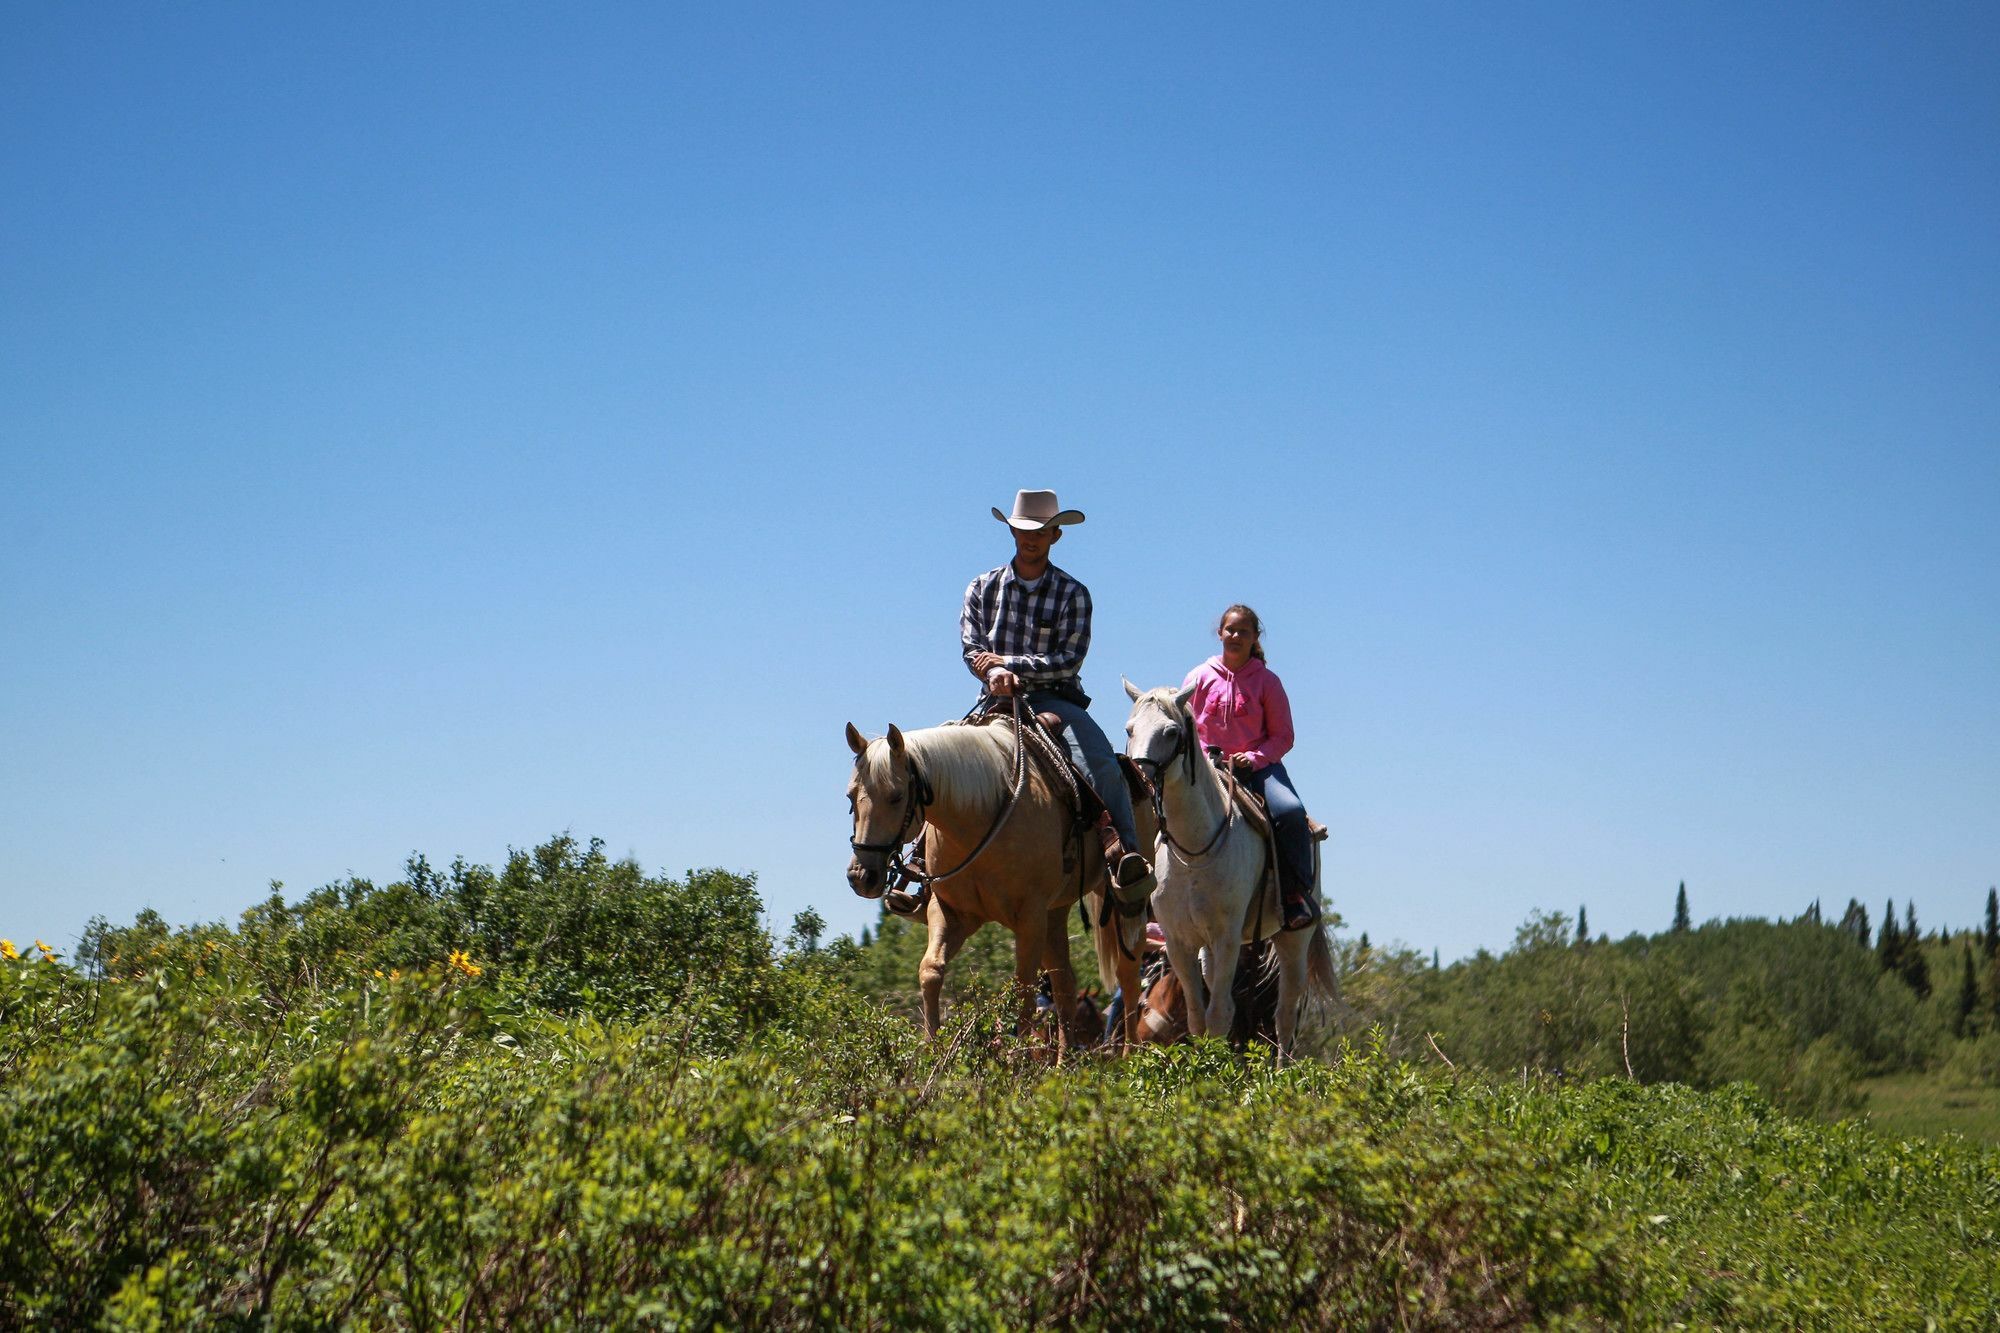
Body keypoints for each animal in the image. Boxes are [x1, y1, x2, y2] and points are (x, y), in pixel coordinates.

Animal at [848, 716, 1160, 1048]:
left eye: (896, 797)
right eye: (851, 796)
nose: (862, 876)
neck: (981, 816)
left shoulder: (1029, 917)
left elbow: (1023, 991)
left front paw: (1017, 1056)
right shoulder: (951, 912)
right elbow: (930, 971)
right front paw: (933, 1050)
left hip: (1122, 905)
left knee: (1127, 977)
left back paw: (1130, 1052)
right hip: (1055, 913)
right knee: (1065, 982)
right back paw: (1064, 1059)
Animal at [1120, 680, 1336, 1056]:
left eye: (1171, 732)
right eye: (1130, 729)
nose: (1139, 778)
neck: (1194, 851)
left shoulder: (1227, 938)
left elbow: (1219, 1015)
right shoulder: (1179, 942)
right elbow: (1198, 1018)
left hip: (1293, 941)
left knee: (1284, 1017)